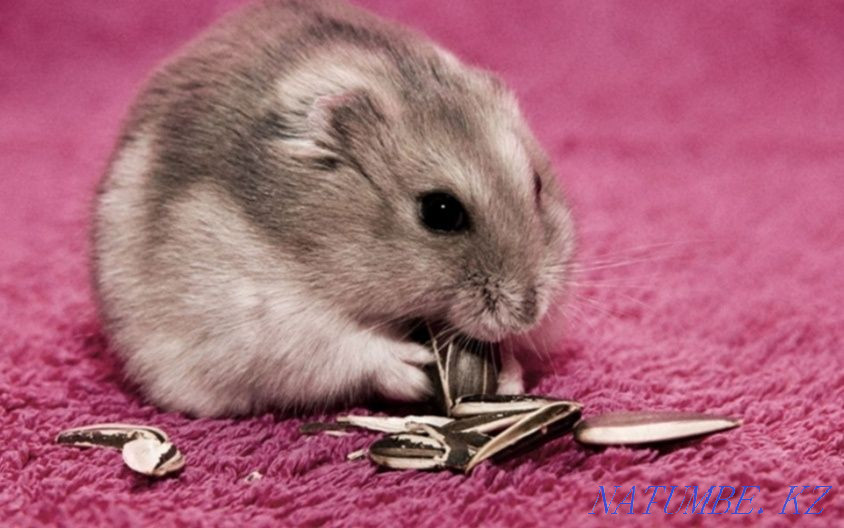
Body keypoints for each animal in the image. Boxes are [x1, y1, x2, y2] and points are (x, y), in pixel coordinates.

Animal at [93, 0, 575, 417]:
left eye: (537, 185)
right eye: (440, 211)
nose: (529, 312)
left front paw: (509, 376)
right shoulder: (267, 319)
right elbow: (348, 347)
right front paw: (413, 368)